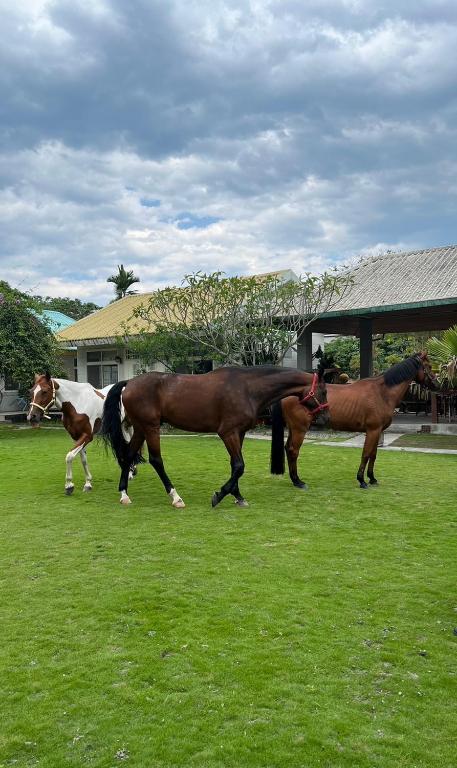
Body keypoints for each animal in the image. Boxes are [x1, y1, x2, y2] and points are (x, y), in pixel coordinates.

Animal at [100, 366, 328, 510]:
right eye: (324, 391)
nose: (325, 417)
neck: (247, 388)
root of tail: (129, 383)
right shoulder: (227, 433)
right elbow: (239, 466)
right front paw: (219, 495)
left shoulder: (239, 433)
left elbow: (235, 465)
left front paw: (238, 496)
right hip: (151, 428)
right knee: (156, 460)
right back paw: (176, 497)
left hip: (140, 428)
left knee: (128, 456)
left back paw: (124, 494)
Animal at [268, 352, 436, 488]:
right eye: (428, 366)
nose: (436, 384)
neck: (382, 393)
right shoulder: (373, 430)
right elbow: (366, 454)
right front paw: (362, 480)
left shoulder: (378, 431)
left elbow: (373, 454)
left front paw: (372, 479)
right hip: (299, 429)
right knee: (293, 450)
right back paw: (298, 481)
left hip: (293, 428)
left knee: (288, 448)